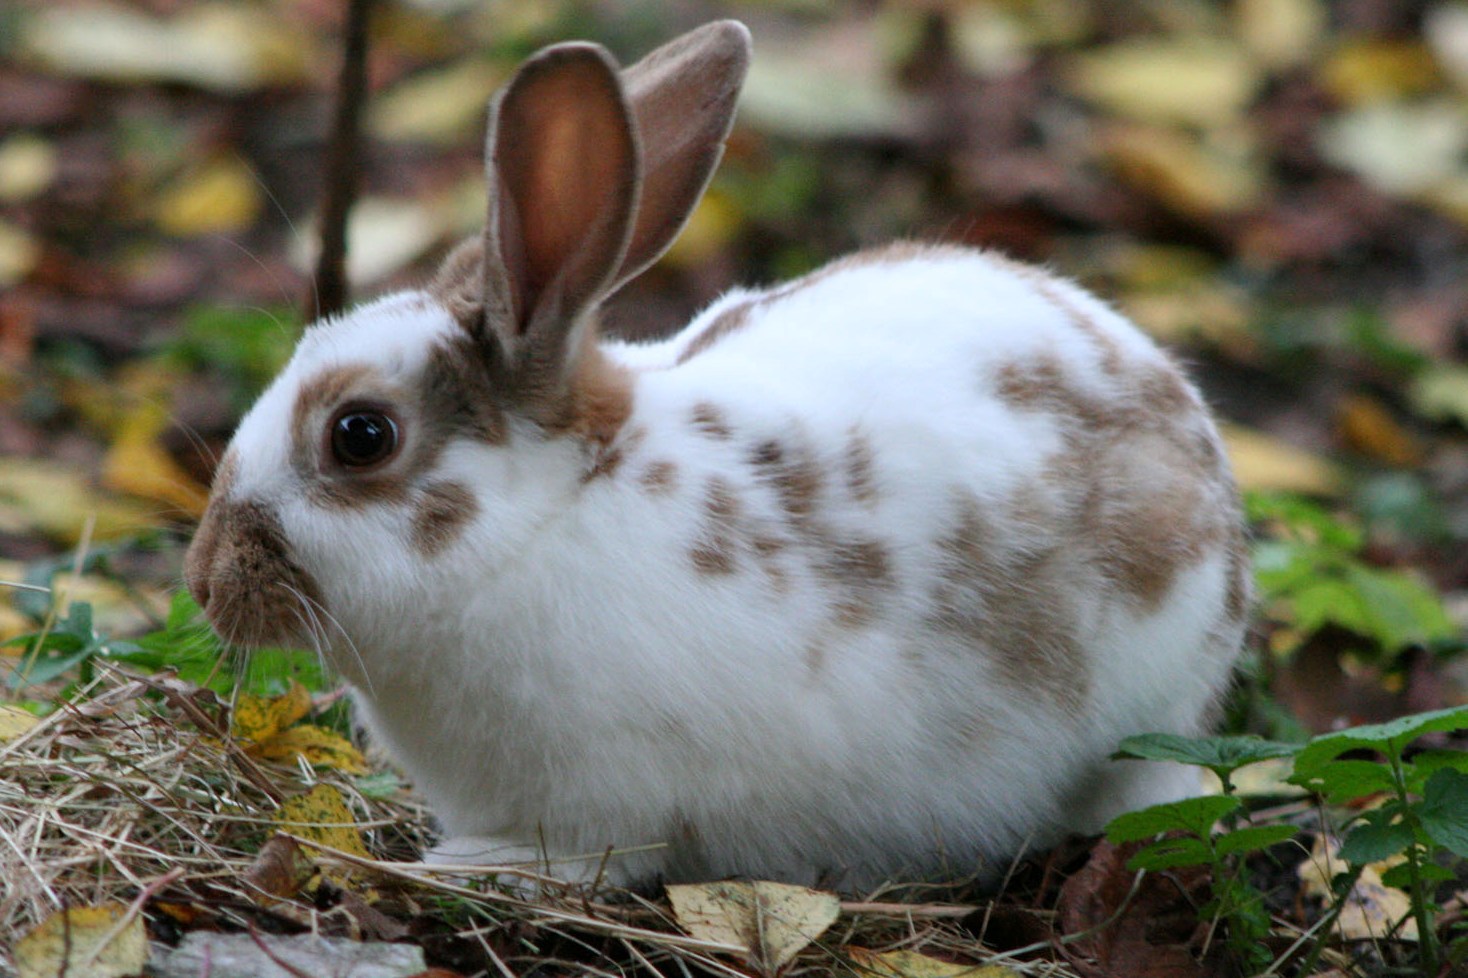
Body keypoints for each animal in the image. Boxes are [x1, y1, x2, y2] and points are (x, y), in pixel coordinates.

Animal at [183, 20, 1250, 892]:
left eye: (359, 436)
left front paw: (466, 864)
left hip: (1144, 715)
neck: (545, 524)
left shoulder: (600, 806)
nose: (205, 578)